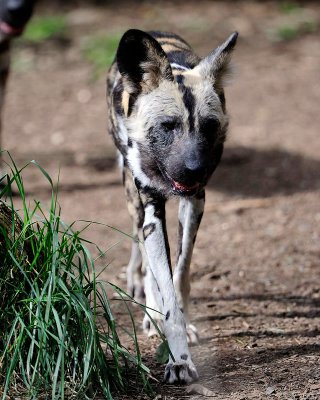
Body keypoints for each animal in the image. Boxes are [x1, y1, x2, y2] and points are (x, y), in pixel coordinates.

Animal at [107, 28, 238, 384]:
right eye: (168, 126)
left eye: (209, 125)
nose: (194, 169)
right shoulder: (152, 209)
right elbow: (162, 282)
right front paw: (179, 359)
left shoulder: (195, 201)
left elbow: (180, 275)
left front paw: (184, 327)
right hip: (135, 201)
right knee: (142, 252)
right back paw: (149, 311)